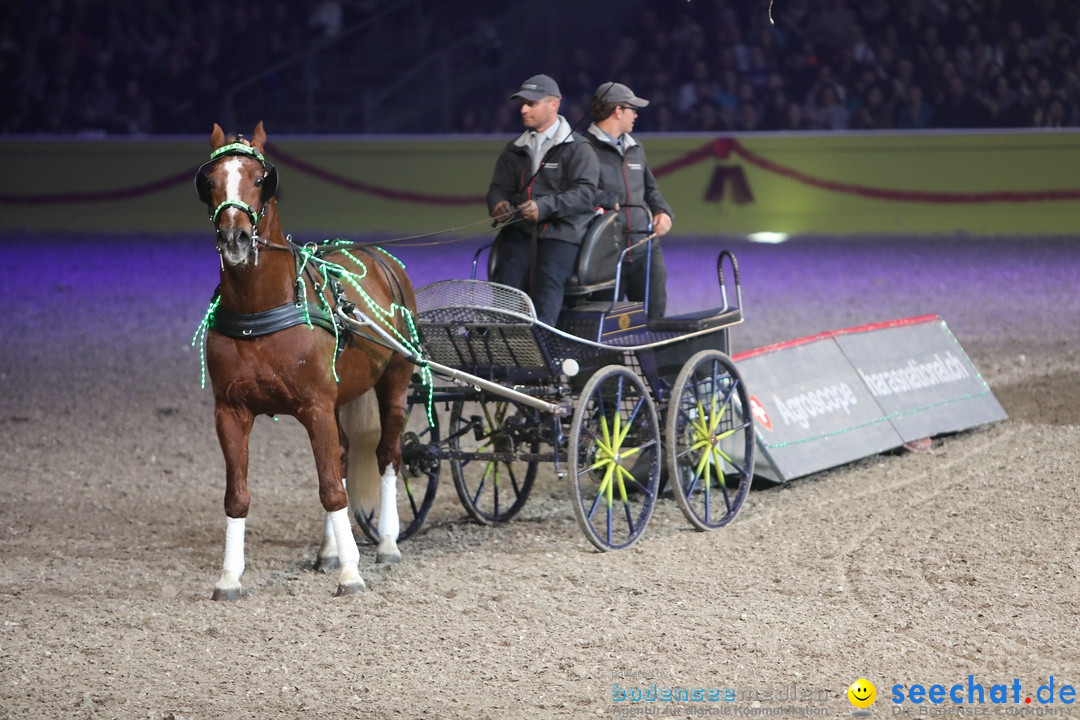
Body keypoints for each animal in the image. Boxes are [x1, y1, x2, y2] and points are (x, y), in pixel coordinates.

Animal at [192, 124, 414, 604]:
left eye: (261, 179)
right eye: (210, 181)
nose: (234, 239)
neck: (261, 310)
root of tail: (383, 259)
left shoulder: (315, 407)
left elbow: (331, 490)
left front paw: (350, 574)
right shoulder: (231, 412)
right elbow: (237, 495)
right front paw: (229, 578)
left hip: (395, 380)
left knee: (387, 455)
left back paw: (387, 543)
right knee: (346, 456)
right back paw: (329, 550)